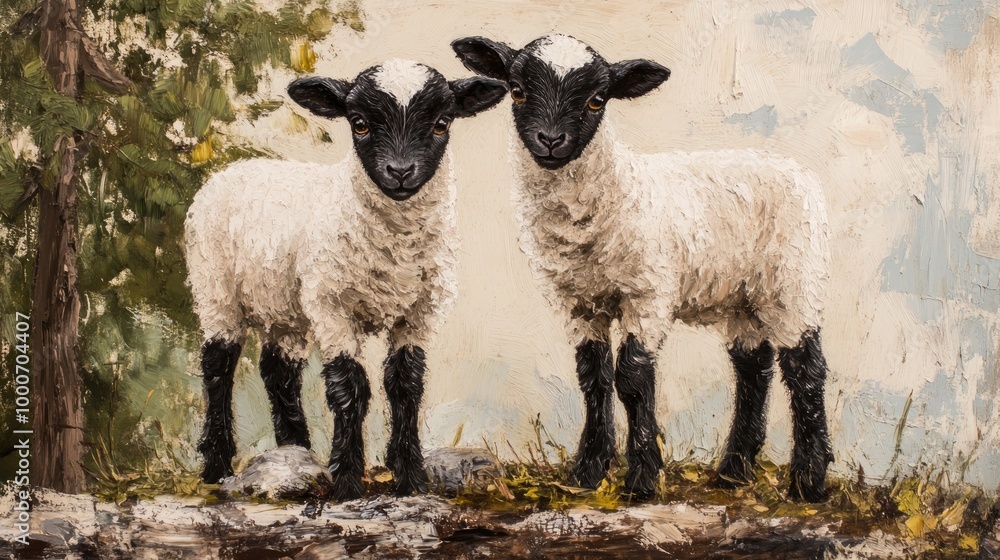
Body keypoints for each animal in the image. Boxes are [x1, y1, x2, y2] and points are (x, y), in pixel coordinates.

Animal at [184, 59, 507, 500]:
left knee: (278, 369)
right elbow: (350, 388)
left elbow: (405, 385)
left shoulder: (421, 312)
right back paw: (217, 465)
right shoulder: (332, 306)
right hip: (216, 289)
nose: (400, 172)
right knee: (217, 365)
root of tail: (234, 169)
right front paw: (348, 481)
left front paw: (410, 478)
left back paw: (295, 452)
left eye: (442, 123)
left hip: (285, 304)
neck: (395, 247)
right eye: (359, 124)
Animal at [452, 34, 833, 502]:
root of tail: (796, 169)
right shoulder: (579, 304)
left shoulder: (648, 294)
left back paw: (809, 481)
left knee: (805, 370)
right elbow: (593, 378)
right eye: (518, 91)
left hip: (794, 283)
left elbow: (632, 377)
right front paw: (588, 473)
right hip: (742, 296)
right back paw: (733, 471)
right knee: (753, 368)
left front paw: (642, 479)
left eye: (597, 100)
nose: (551, 141)